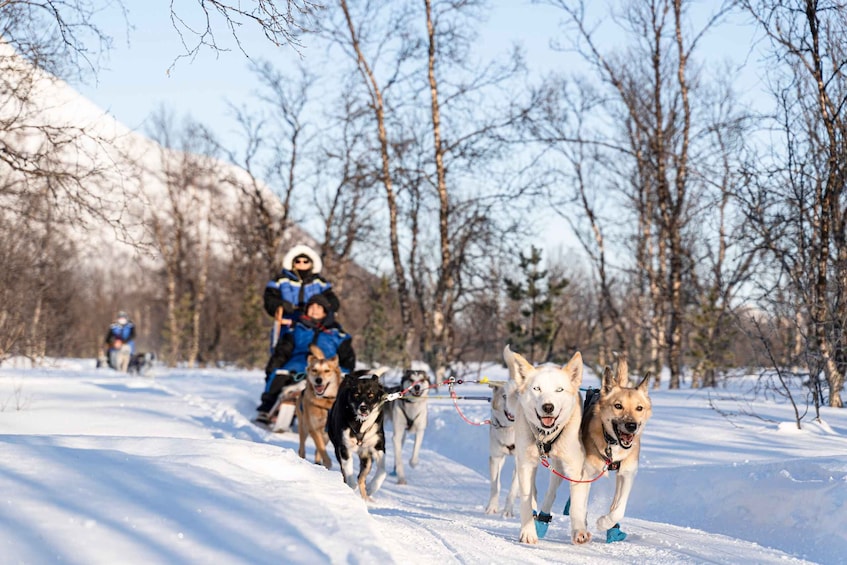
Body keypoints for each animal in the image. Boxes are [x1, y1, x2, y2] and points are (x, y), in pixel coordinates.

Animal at [328, 368, 390, 500]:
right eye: (356, 394)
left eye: (371, 395)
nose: (363, 408)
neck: (360, 425)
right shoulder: (344, 448)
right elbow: (348, 471)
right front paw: (351, 486)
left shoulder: (378, 447)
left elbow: (382, 471)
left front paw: (372, 487)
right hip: (338, 450)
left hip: (367, 458)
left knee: (361, 477)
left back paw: (366, 498)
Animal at [504, 346, 588, 544]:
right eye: (537, 388)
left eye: (559, 389)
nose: (548, 407)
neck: (545, 437)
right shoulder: (526, 464)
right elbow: (525, 500)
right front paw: (528, 532)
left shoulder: (575, 468)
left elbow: (576, 503)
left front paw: (579, 531)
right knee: (532, 490)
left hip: (559, 467)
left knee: (552, 491)